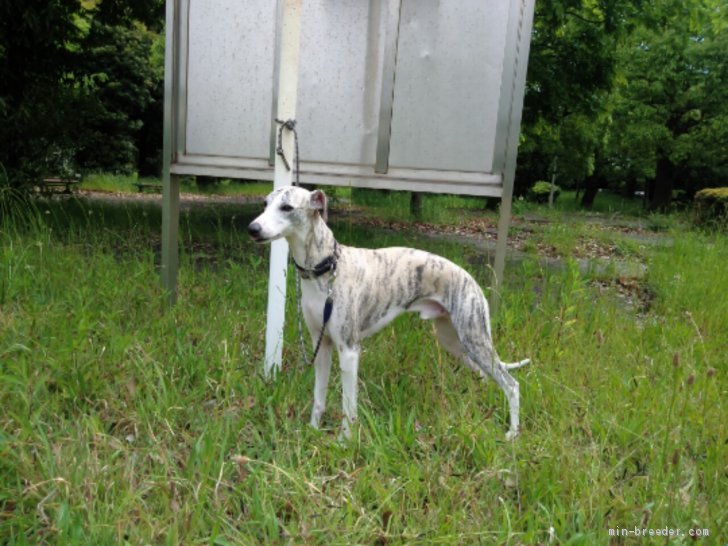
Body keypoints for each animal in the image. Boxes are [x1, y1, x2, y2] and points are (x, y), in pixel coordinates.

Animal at [249, 185, 528, 440]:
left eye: (287, 207)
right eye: (265, 203)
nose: (252, 228)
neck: (327, 267)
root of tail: (472, 280)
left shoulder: (349, 350)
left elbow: (348, 405)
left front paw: (345, 442)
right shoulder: (323, 345)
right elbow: (319, 397)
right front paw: (312, 431)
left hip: (474, 338)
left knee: (511, 385)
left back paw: (512, 433)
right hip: (454, 341)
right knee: (485, 375)